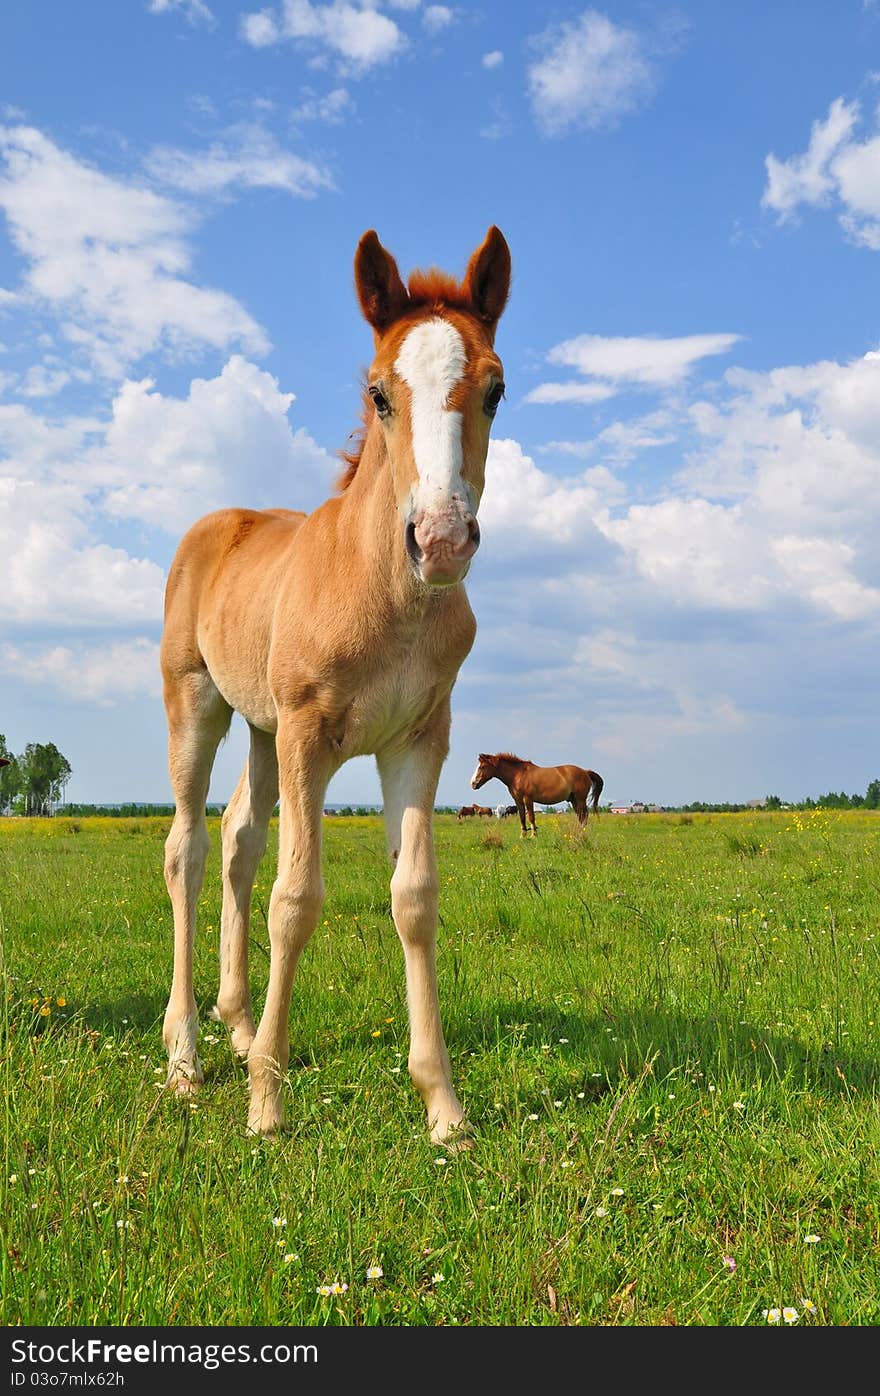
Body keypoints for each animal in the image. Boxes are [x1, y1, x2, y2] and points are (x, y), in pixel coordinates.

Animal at [162, 226, 514, 1144]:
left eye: (496, 390)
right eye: (379, 394)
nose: (441, 539)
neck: (387, 597)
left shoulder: (420, 742)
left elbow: (415, 897)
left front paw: (444, 1107)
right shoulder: (308, 735)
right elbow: (297, 898)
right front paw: (267, 1102)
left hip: (258, 729)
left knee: (240, 840)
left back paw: (237, 1024)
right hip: (199, 705)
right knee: (188, 849)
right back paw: (186, 1057)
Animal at [469, 753, 606, 837]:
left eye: (482, 767)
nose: (473, 783)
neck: (518, 775)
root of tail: (585, 772)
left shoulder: (528, 799)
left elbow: (531, 817)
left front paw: (534, 835)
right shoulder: (518, 801)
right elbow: (522, 817)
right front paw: (523, 836)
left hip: (580, 799)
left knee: (584, 816)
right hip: (573, 800)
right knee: (581, 816)